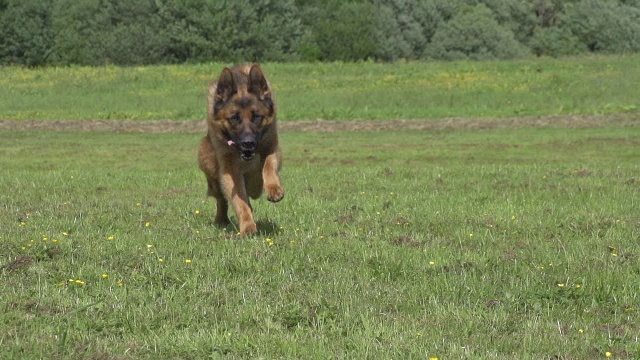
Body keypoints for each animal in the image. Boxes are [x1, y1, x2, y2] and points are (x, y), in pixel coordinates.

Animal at [196, 64, 284, 236]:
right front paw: (247, 227)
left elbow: (268, 166)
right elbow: (239, 201)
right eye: (234, 118)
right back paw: (221, 219)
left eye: (256, 116)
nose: (247, 143)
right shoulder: (229, 169)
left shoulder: (271, 146)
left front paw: (273, 189)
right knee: (221, 199)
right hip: (208, 161)